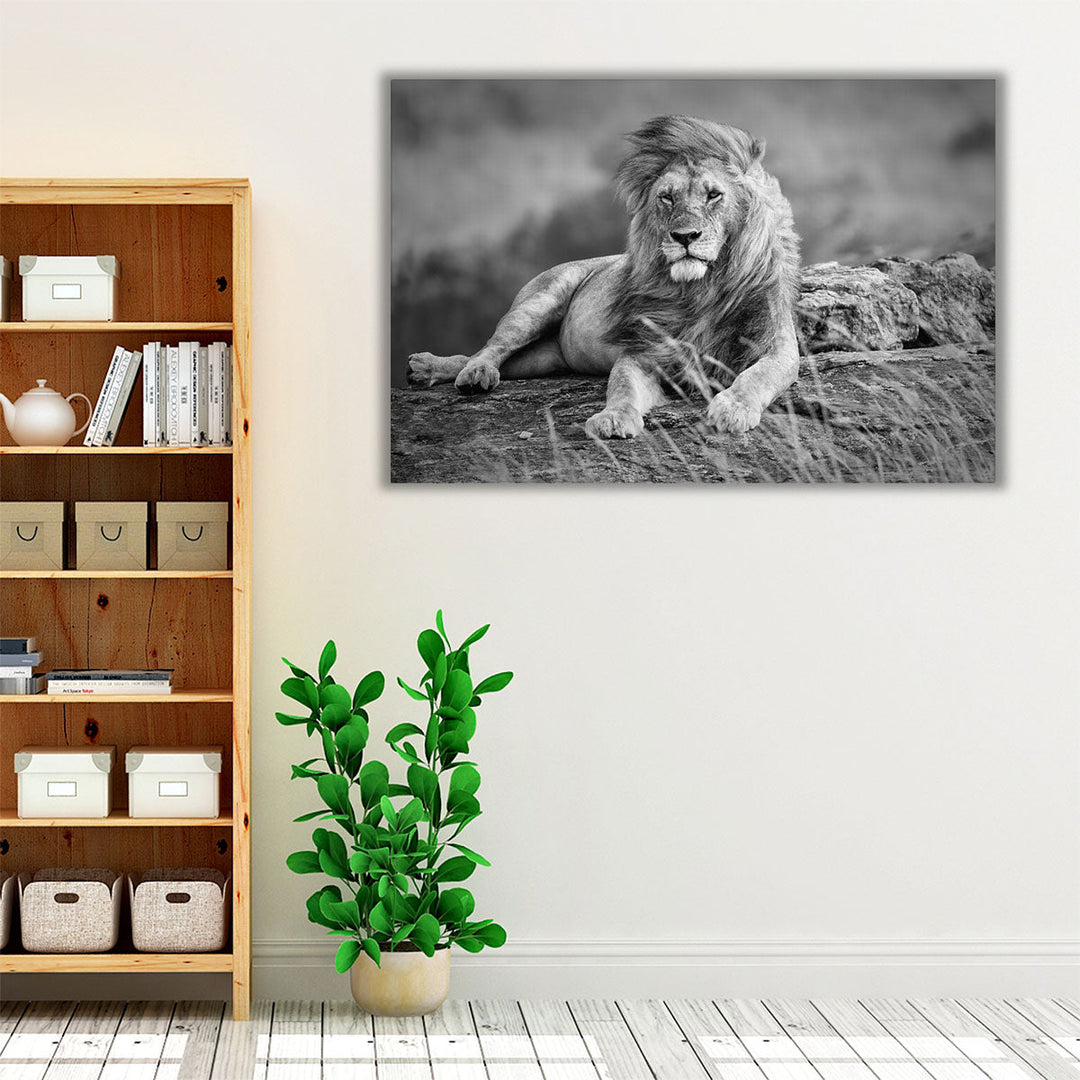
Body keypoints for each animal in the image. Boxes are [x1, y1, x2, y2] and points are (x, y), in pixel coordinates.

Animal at [408, 115, 801, 437]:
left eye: (714, 194)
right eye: (667, 198)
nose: (685, 236)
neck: (700, 289)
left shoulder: (777, 347)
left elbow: (757, 376)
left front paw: (733, 408)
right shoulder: (643, 351)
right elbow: (622, 385)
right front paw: (613, 418)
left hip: (541, 359)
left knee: (493, 358)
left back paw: (428, 369)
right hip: (537, 303)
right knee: (490, 348)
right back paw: (464, 373)